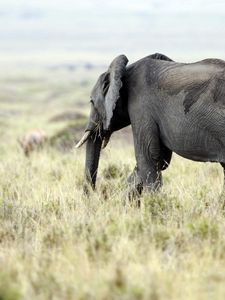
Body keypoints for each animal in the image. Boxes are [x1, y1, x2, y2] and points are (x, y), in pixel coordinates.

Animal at [76, 51, 225, 197]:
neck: (125, 72)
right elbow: (159, 159)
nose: (94, 195)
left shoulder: (141, 107)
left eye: (91, 102)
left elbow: (147, 157)